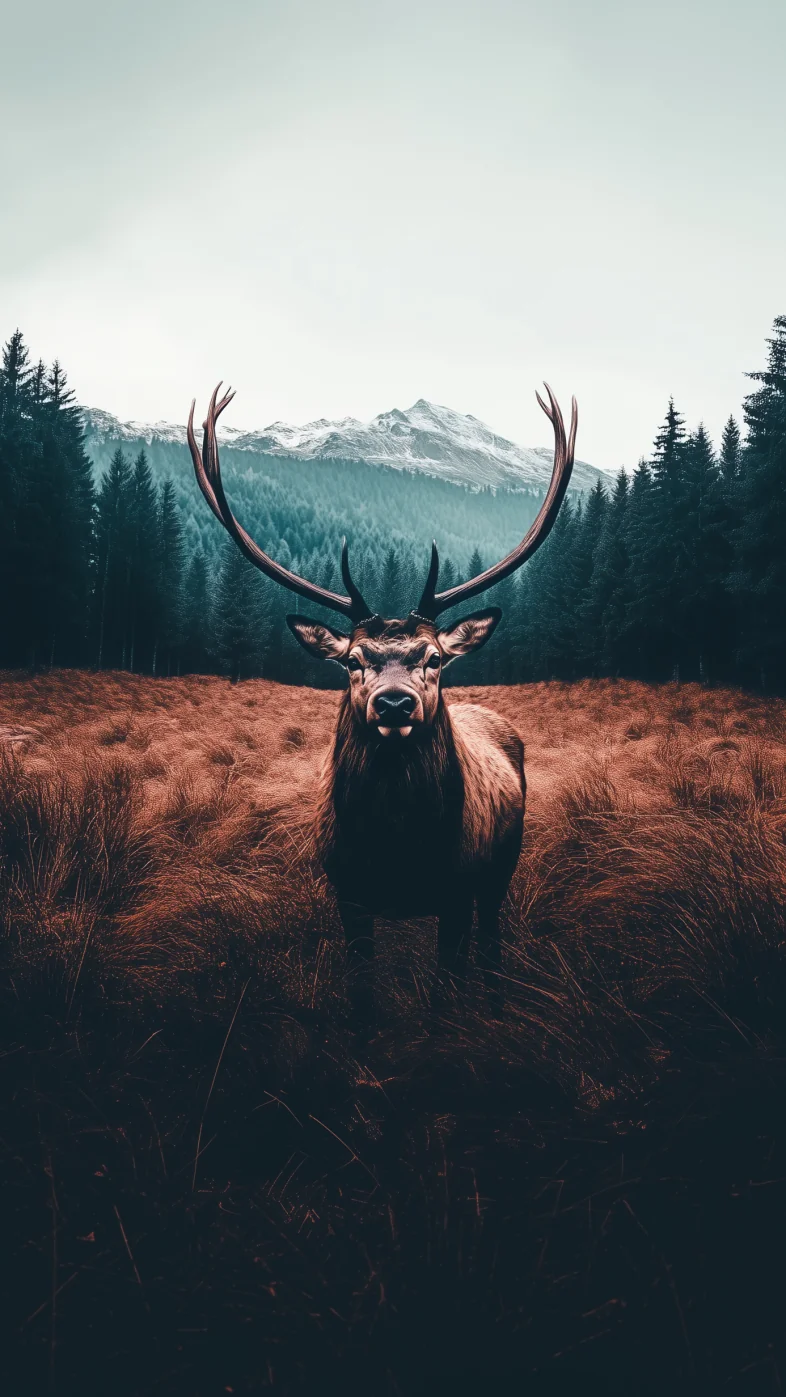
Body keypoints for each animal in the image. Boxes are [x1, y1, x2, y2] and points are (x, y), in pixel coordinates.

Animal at [187, 384, 577, 1014]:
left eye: (435, 658)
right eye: (351, 661)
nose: (395, 704)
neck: (396, 848)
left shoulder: (456, 889)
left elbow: (446, 990)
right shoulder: (348, 894)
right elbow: (361, 994)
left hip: (502, 867)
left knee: (491, 944)